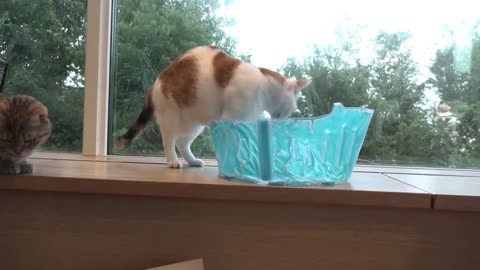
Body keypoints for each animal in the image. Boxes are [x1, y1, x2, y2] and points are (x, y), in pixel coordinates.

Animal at [116, 46, 312, 169]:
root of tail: (156, 83)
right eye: (292, 108)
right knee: (169, 141)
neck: (263, 88)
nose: (284, 119)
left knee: (182, 143)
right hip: (171, 117)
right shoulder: (229, 118)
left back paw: (193, 161)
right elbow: (234, 143)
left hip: (194, 124)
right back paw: (173, 162)